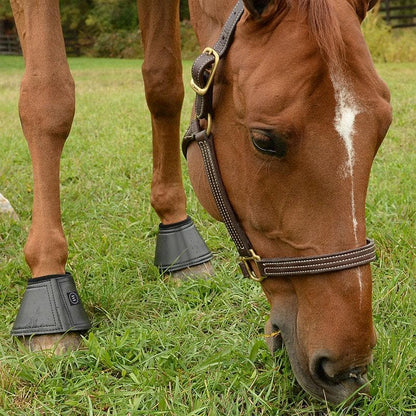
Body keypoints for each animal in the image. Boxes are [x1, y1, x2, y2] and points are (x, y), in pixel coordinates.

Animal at [8, 0, 390, 404]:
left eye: (383, 127)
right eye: (264, 140)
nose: (347, 371)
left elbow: (163, 86)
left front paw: (176, 231)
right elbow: (48, 100)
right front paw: (48, 278)